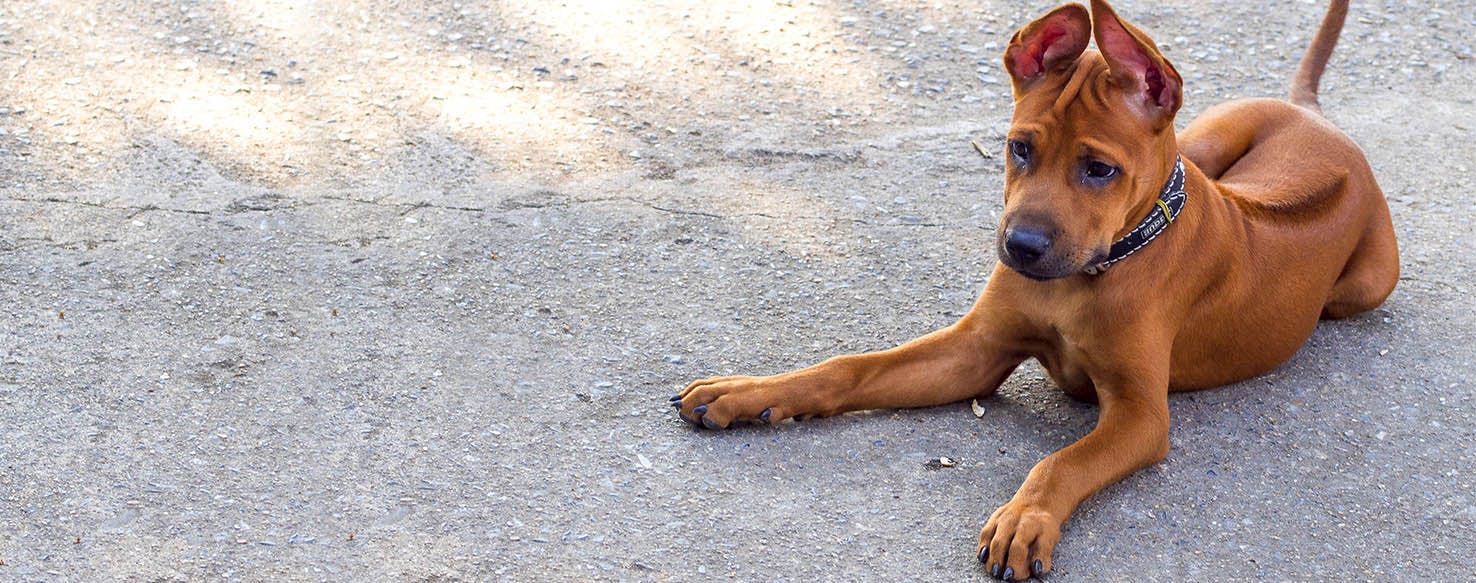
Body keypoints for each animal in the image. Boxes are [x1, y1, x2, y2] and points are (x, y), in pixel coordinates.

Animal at [670, 0, 1393, 578]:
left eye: (1099, 169)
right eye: (1018, 148)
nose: (1020, 248)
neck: (1087, 276)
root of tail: (1314, 116)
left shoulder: (1141, 415)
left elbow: (1062, 462)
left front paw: (1026, 518)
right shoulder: (975, 351)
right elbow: (849, 367)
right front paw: (748, 391)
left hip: (1369, 283)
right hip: (1205, 142)